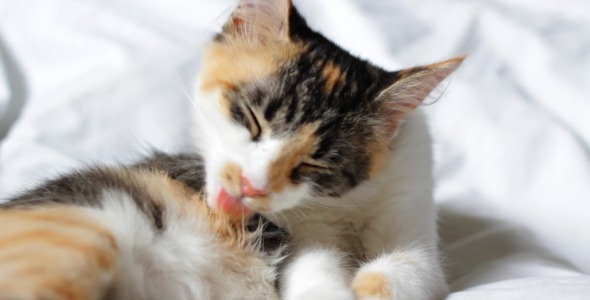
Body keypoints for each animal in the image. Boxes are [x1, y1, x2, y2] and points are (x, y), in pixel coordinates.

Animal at [194, 1, 468, 298]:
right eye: (252, 119)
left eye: (314, 163)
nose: (250, 185)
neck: (349, 201)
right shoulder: (301, 228)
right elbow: (313, 263)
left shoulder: (410, 188)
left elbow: (407, 267)